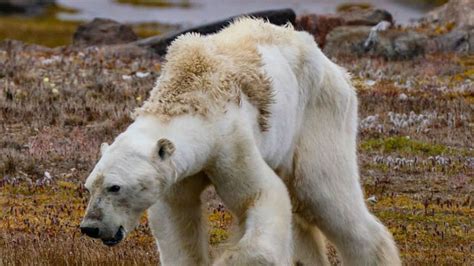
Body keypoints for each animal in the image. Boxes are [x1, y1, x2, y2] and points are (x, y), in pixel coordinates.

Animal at [80, 18, 400, 266]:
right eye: (89, 186)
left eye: (115, 186)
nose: (90, 227)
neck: (190, 95)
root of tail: (335, 68)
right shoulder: (178, 173)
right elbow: (175, 218)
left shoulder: (230, 143)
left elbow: (262, 196)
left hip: (318, 113)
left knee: (323, 191)